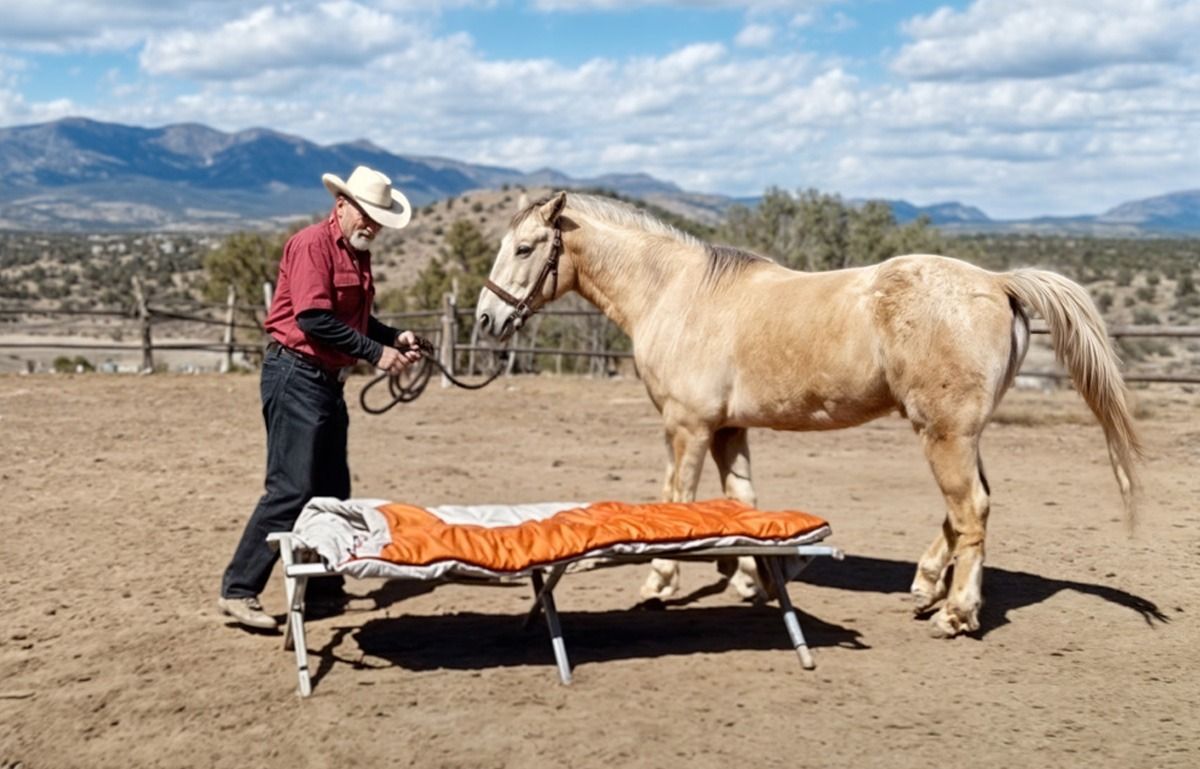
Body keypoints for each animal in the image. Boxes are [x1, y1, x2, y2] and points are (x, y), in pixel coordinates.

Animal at [474, 191, 1140, 638]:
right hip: (956, 432)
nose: (487, 318)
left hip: (945, 432)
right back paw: (926, 587)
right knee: (969, 507)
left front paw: (660, 582)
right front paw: (755, 579)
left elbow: (677, 500)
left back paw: (956, 613)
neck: (674, 294)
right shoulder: (729, 429)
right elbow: (742, 503)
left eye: (526, 248)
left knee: (970, 509)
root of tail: (998, 282)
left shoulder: (687, 427)